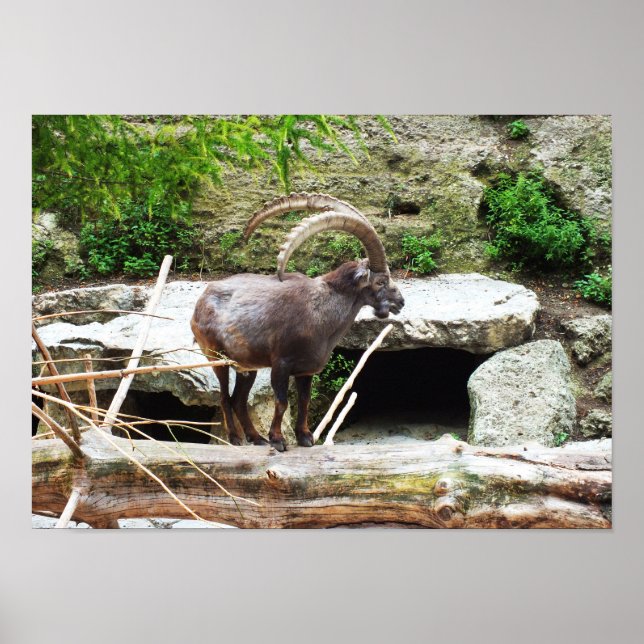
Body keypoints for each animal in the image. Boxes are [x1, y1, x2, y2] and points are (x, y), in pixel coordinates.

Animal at [191, 193, 405, 451]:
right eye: (381, 281)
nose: (400, 302)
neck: (321, 310)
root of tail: (201, 300)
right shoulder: (281, 364)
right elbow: (282, 402)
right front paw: (278, 440)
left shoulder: (305, 370)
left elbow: (304, 401)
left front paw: (305, 437)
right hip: (216, 357)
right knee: (224, 398)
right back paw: (235, 438)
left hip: (247, 367)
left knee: (238, 400)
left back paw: (256, 438)